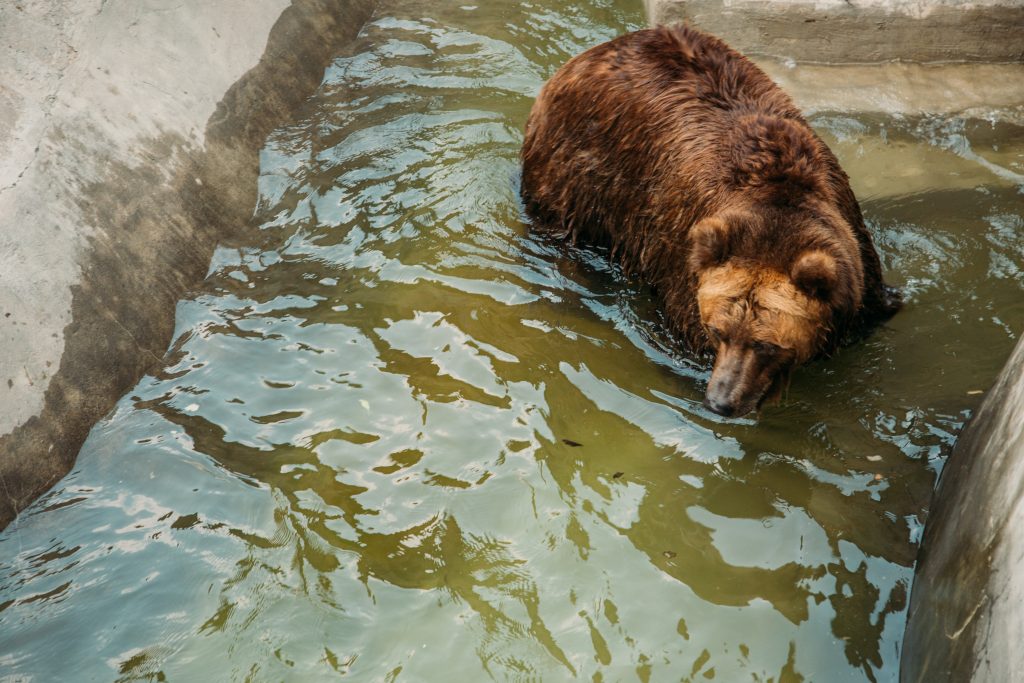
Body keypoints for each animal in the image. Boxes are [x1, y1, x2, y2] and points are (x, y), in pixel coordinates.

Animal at [524, 24, 901, 417]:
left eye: (766, 345)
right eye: (717, 331)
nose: (722, 401)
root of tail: (593, 52)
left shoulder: (856, 276)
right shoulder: (678, 264)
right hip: (580, 171)